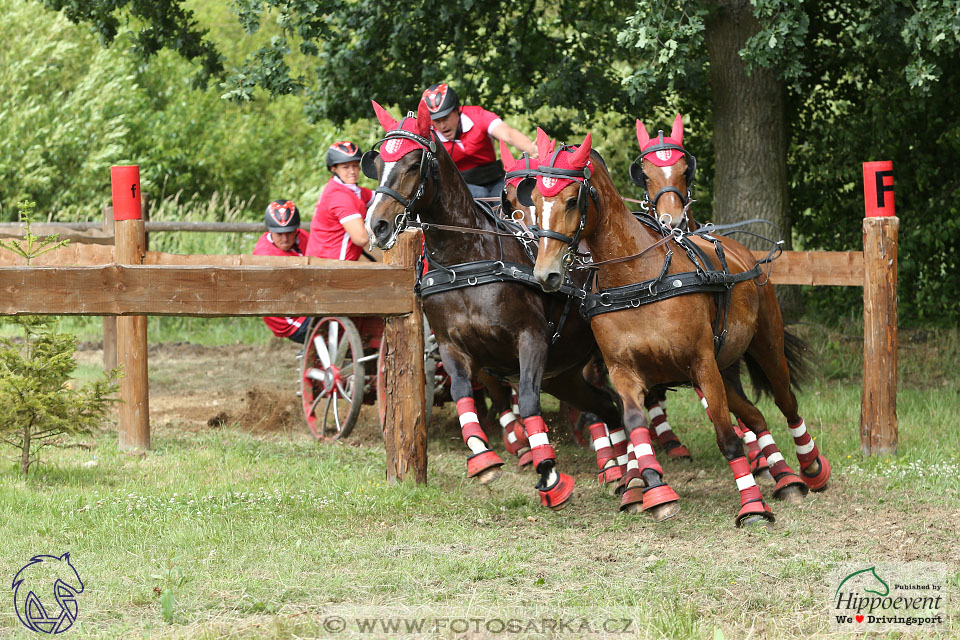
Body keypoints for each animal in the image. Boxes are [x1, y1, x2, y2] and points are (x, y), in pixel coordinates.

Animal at [364, 100, 628, 510]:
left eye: (412, 164)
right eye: (378, 164)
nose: (377, 225)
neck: (466, 262)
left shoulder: (531, 339)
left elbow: (529, 401)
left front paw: (549, 473)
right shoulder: (452, 347)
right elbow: (462, 394)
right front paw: (483, 458)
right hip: (564, 374)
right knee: (605, 404)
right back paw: (620, 474)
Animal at [520, 127, 828, 528]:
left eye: (573, 200)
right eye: (535, 199)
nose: (546, 274)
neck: (637, 280)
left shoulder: (701, 364)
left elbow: (727, 437)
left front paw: (752, 506)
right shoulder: (623, 371)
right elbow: (634, 423)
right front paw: (653, 489)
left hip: (764, 348)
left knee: (785, 403)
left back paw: (810, 468)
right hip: (726, 370)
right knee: (756, 416)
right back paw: (785, 477)